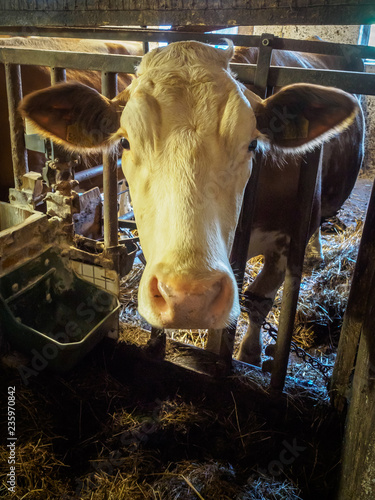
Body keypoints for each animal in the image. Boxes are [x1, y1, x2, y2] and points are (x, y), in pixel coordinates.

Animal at [19, 41, 366, 366]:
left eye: (252, 144)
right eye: (126, 142)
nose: (190, 297)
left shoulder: (290, 237)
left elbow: (258, 301)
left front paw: (250, 354)